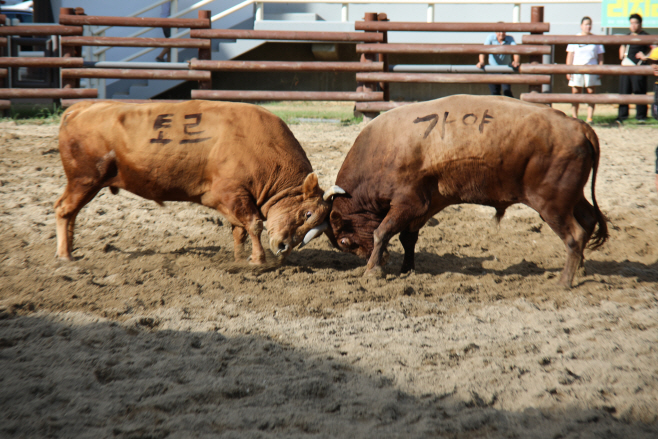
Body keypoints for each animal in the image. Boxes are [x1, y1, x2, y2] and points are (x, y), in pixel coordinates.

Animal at [56, 100, 344, 262]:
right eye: (307, 213)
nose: (283, 247)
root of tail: (79, 108)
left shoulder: (233, 201)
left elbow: (239, 231)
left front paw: (239, 258)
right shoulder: (232, 193)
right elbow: (253, 224)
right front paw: (258, 260)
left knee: (71, 213)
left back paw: (69, 247)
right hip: (85, 179)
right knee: (64, 210)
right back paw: (65, 255)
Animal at [326, 95, 608, 288]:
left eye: (344, 241)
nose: (374, 259)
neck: (383, 148)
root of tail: (579, 127)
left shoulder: (408, 203)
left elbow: (381, 232)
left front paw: (372, 270)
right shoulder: (427, 204)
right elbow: (408, 238)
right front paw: (406, 269)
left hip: (552, 206)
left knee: (574, 235)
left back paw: (563, 281)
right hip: (572, 199)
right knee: (588, 220)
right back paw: (580, 269)